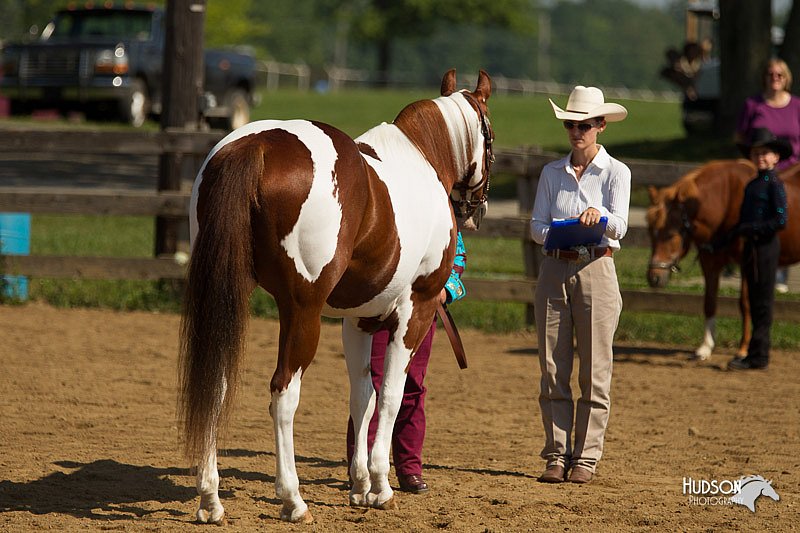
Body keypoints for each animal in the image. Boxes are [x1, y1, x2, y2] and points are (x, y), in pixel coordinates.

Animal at [180, 68, 494, 520]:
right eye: (490, 134)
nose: (478, 207)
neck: (422, 159)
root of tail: (256, 146)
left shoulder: (358, 319)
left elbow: (363, 396)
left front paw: (360, 485)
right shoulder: (415, 310)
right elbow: (391, 396)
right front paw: (381, 486)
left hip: (226, 298)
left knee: (215, 386)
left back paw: (210, 500)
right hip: (302, 311)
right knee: (283, 394)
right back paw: (293, 500)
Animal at [644, 158, 800, 358]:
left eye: (671, 235)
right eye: (650, 232)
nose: (654, 277)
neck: (727, 203)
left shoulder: (747, 263)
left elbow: (745, 304)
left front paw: (743, 349)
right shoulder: (710, 262)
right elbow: (709, 302)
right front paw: (705, 347)